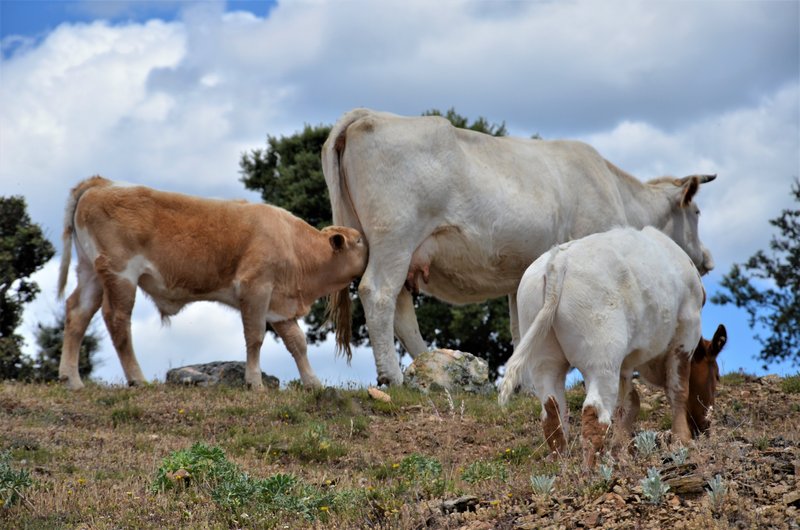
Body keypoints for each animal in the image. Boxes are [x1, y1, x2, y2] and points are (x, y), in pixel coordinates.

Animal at [57, 176, 368, 388]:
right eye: (359, 241)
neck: (296, 246)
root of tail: (101, 183)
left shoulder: (280, 305)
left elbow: (297, 343)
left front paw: (313, 383)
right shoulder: (255, 288)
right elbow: (255, 337)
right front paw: (254, 382)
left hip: (91, 272)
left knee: (77, 312)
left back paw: (71, 379)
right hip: (120, 274)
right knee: (117, 319)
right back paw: (137, 378)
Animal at [324, 107, 720, 382]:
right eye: (698, 211)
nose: (707, 259)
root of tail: (369, 115)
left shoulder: (521, 275)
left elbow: (522, 327)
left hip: (386, 247)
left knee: (401, 310)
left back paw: (427, 368)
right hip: (395, 237)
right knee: (378, 294)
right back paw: (392, 377)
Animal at [496, 227, 708, 466]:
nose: (704, 425)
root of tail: (558, 259)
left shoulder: (625, 362)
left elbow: (628, 402)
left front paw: (621, 450)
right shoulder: (687, 330)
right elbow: (677, 389)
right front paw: (682, 439)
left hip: (543, 358)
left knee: (551, 409)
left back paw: (562, 463)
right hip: (602, 357)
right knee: (594, 411)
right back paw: (593, 469)